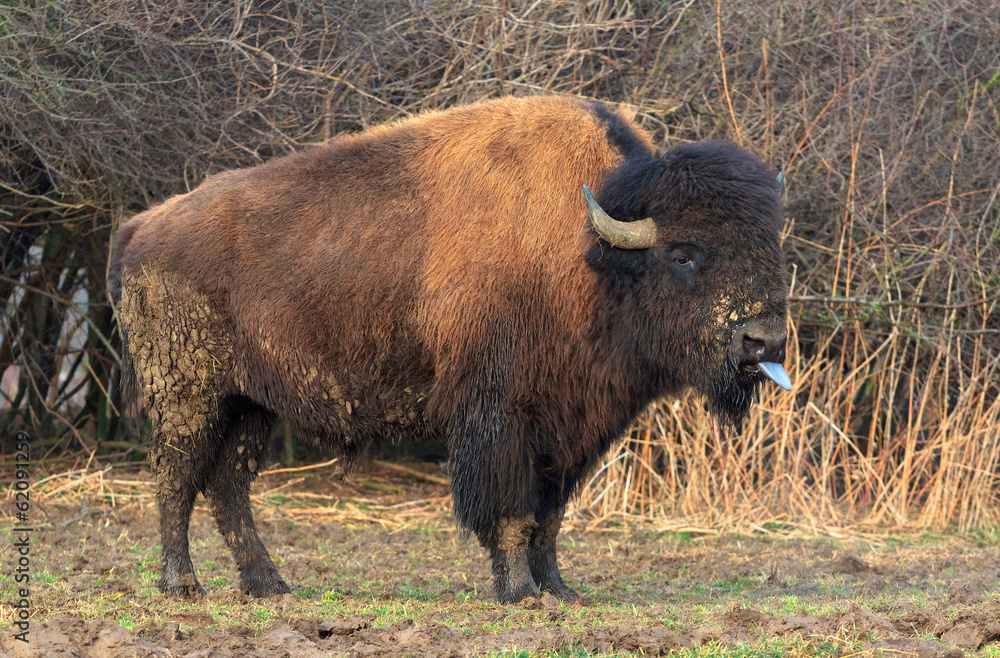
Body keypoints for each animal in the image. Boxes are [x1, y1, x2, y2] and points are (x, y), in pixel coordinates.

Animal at [105, 95, 788, 604]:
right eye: (684, 254)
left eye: (770, 243)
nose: (764, 339)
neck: (593, 251)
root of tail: (143, 228)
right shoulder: (500, 417)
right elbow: (513, 510)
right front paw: (519, 593)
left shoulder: (569, 430)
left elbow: (551, 517)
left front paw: (560, 591)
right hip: (190, 394)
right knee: (176, 476)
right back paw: (182, 585)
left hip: (252, 403)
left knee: (228, 484)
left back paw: (269, 585)